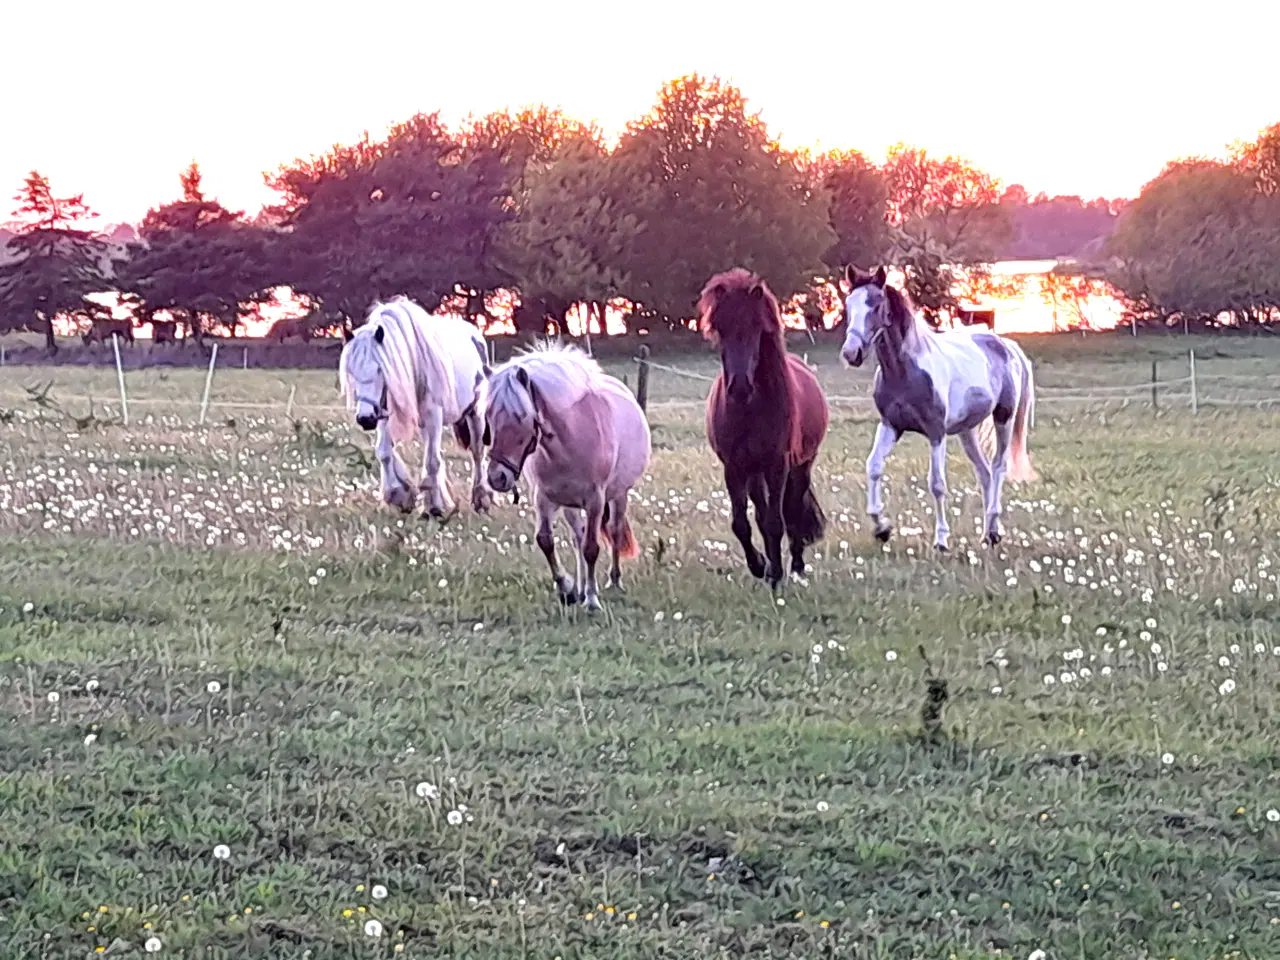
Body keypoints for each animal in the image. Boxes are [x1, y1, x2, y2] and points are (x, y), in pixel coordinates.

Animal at [337, 299, 491, 519]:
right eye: (352, 371)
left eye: (380, 369)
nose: (365, 418)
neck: (415, 362)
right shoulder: (384, 414)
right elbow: (384, 452)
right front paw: (396, 494)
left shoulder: (434, 415)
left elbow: (432, 461)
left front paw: (433, 507)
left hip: (474, 413)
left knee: (477, 453)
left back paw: (481, 500)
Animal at [483, 343, 655, 611]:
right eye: (488, 415)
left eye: (521, 416)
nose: (497, 477)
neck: (570, 441)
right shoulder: (544, 499)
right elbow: (546, 541)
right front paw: (568, 589)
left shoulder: (595, 500)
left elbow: (592, 548)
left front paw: (592, 601)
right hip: (570, 505)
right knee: (578, 536)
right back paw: (582, 586)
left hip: (619, 495)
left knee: (614, 531)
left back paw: (613, 581)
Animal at [701, 267, 829, 591]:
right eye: (720, 328)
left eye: (756, 326)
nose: (739, 387)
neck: (750, 410)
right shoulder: (734, 467)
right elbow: (742, 524)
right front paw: (760, 566)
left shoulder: (777, 465)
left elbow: (775, 522)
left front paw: (777, 575)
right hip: (754, 473)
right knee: (762, 513)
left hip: (800, 466)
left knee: (792, 511)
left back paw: (795, 566)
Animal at [839, 267, 1039, 552]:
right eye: (848, 305)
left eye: (876, 305)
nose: (851, 353)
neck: (905, 371)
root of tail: (1007, 346)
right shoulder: (891, 426)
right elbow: (874, 466)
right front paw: (882, 528)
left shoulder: (936, 433)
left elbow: (937, 484)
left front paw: (941, 540)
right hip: (967, 431)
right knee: (984, 473)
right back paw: (988, 533)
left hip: (1004, 418)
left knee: (998, 467)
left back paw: (992, 530)